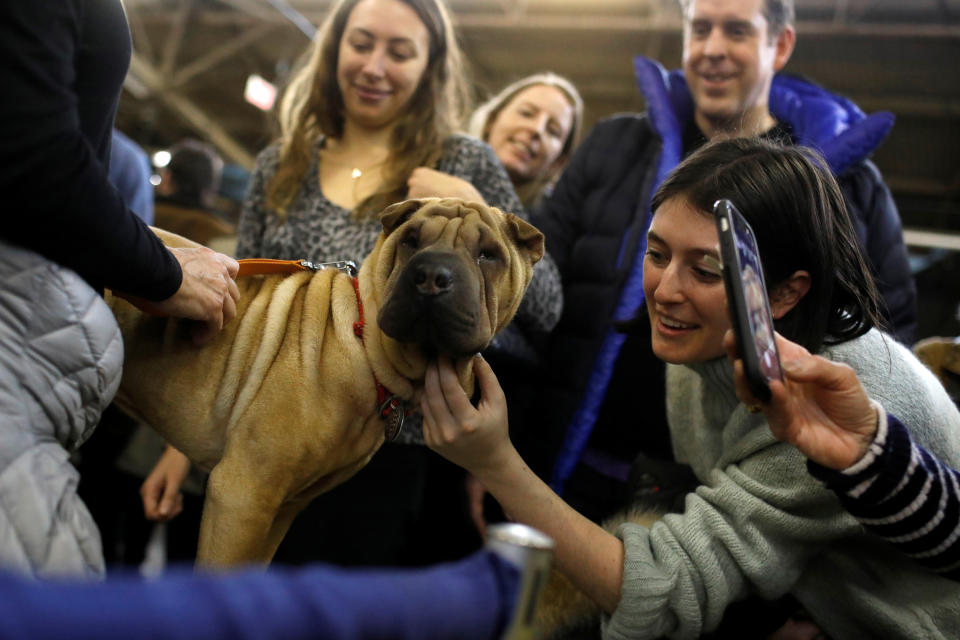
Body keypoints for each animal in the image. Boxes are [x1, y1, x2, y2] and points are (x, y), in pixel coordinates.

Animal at [106, 198, 544, 568]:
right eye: (411, 241)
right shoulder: (242, 494)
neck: (364, 340)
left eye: (488, 254)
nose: (432, 276)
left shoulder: (282, 508)